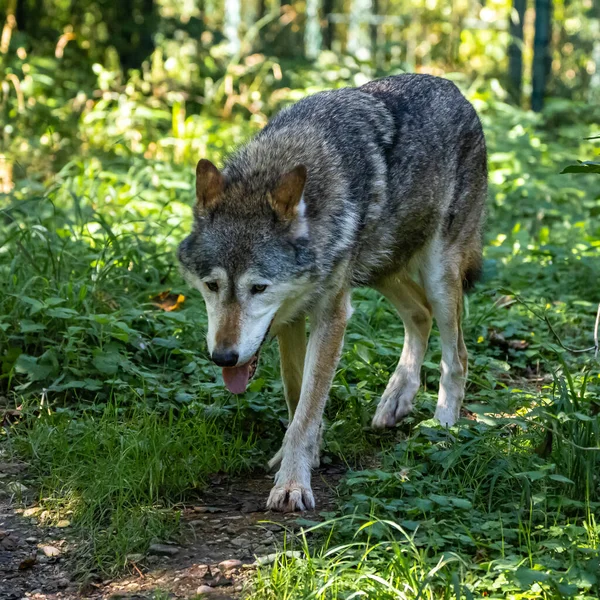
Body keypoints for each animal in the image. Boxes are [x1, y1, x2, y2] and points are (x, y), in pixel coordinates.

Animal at [177, 74, 488, 510]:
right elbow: (297, 397)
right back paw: (397, 398)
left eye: (259, 288)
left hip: (438, 273)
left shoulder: (332, 316)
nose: (224, 358)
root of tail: (453, 87)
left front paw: (293, 483)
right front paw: (302, 456)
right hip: (379, 270)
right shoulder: (290, 318)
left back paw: (443, 426)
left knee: (455, 353)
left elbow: (307, 410)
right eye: (212, 285)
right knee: (419, 314)